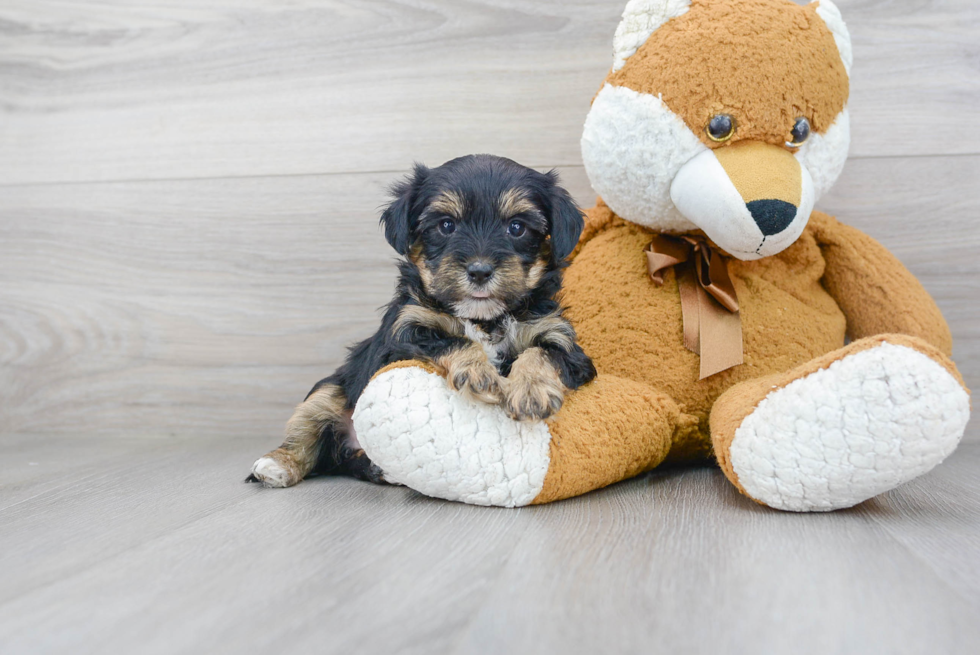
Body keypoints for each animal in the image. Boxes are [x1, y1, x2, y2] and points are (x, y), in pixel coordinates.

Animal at [249, 156, 592, 490]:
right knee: (309, 429)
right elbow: (451, 339)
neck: (482, 317)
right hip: (332, 388)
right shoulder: (404, 332)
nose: (480, 271)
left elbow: (541, 353)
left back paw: (378, 469)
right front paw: (478, 373)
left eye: (517, 227)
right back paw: (277, 465)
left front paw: (531, 392)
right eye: (446, 225)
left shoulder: (562, 340)